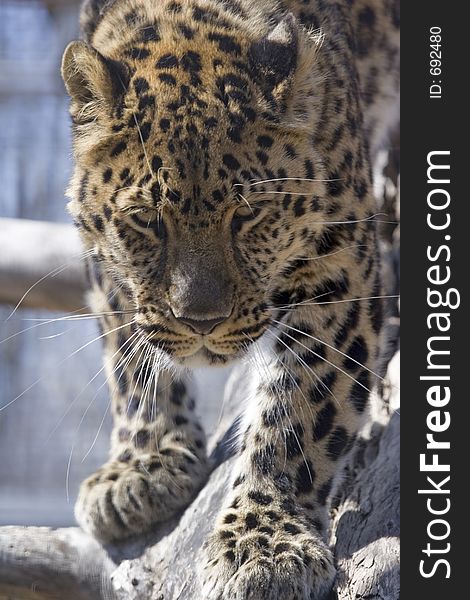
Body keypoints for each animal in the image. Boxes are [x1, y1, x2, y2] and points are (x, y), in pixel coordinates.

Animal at [60, 2, 398, 596]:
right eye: (146, 221)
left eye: (249, 213)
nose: (202, 322)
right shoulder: (108, 262)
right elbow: (129, 351)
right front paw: (141, 465)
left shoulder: (341, 265)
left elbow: (299, 414)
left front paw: (266, 543)